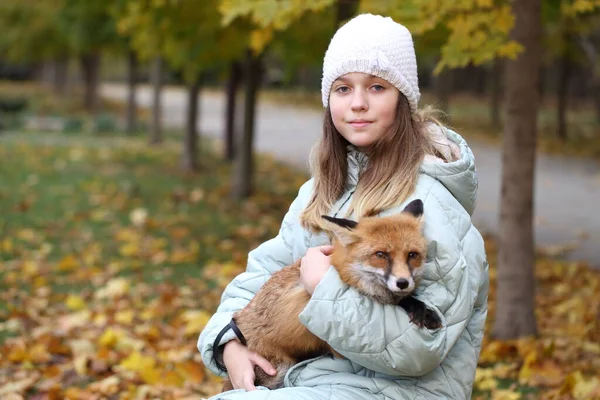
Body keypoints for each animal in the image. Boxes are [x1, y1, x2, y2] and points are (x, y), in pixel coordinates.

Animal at [218, 200, 438, 390]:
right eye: (381, 255)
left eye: (412, 255)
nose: (403, 282)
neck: (346, 273)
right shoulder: (332, 341)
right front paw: (417, 308)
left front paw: (420, 308)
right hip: (278, 370)